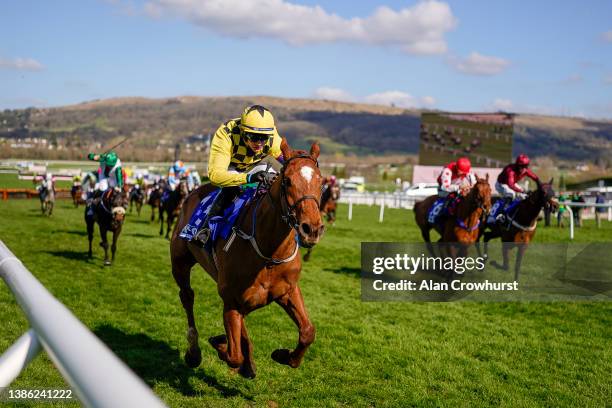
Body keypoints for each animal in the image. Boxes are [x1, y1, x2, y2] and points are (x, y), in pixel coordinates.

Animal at [171, 140, 326, 380]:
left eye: (321, 182)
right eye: (288, 181)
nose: (312, 229)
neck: (269, 253)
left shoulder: (288, 291)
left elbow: (308, 331)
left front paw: (284, 355)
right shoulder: (231, 300)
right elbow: (233, 354)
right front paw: (221, 344)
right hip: (180, 263)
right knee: (187, 297)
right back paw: (194, 352)